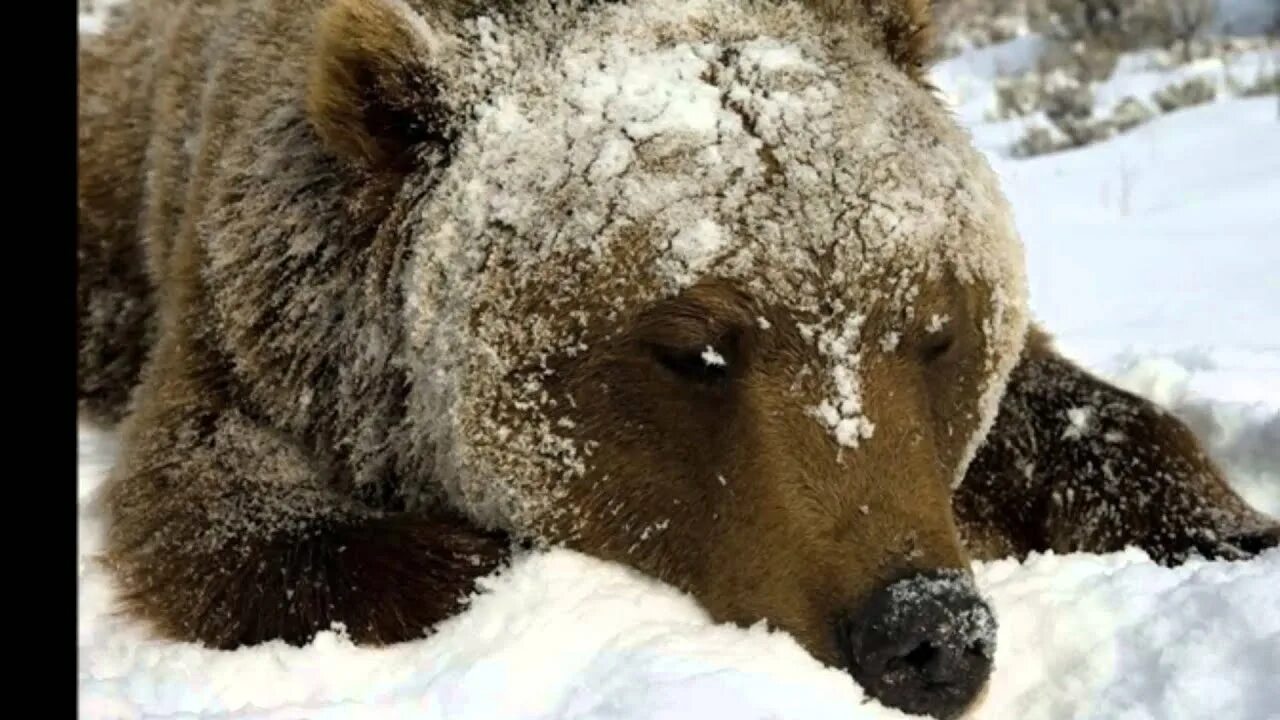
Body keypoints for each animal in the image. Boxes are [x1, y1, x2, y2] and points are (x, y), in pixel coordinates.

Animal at [76, 0, 1277, 718]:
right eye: (695, 349)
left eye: (932, 328)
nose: (928, 632)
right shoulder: (267, 309)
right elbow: (231, 517)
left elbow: (1084, 417)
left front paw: (1229, 530)